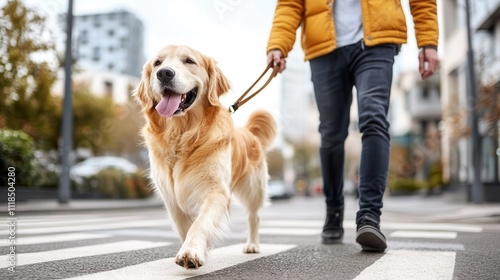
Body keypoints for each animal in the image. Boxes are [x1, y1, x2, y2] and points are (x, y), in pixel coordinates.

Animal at [135, 44, 278, 270]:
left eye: (189, 61)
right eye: (157, 63)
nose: (164, 74)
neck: (182, 135)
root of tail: (249, 131)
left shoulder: (216, 191)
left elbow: (200, 224)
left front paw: (191, 252)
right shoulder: (172, 197)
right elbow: (185, 228)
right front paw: (191, 249)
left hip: (254, 188)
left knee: (254, 216)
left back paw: (252, 245)